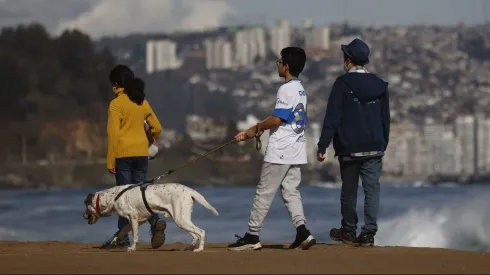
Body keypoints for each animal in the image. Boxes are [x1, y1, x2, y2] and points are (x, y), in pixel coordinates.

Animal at [83, 183, 218, 252]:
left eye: (85, 206)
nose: (83, 216)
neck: (113, 197)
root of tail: (189, 190)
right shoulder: (136, 221)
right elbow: (120, 232)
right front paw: (112, 241)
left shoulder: (133, 217)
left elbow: (135, 236)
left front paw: (132, 247)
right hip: (182, 219)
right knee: (195, 235)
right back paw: (190, 247)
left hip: (180, 219)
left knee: (201, 232)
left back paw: (199, 249)